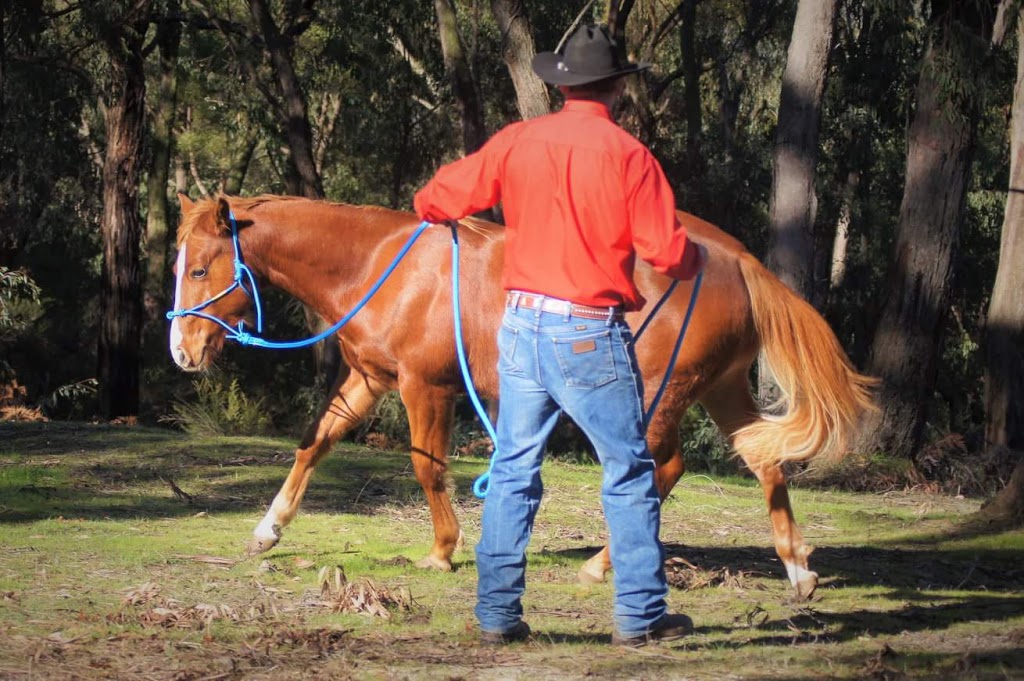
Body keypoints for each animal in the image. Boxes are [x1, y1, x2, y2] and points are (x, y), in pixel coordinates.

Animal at [167, 191, 872, 593]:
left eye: (200, 269)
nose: (182, 352)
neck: (381, 266)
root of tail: (734, 259)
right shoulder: (368, 380)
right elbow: (314, 443)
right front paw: (268, 530)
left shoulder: (426, 388)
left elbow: (428, 469)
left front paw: (443, 552)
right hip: (721, 391)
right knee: (764, 463)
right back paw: (798, 569)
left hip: (656, 394)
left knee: (659, 468)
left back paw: (604, 565)